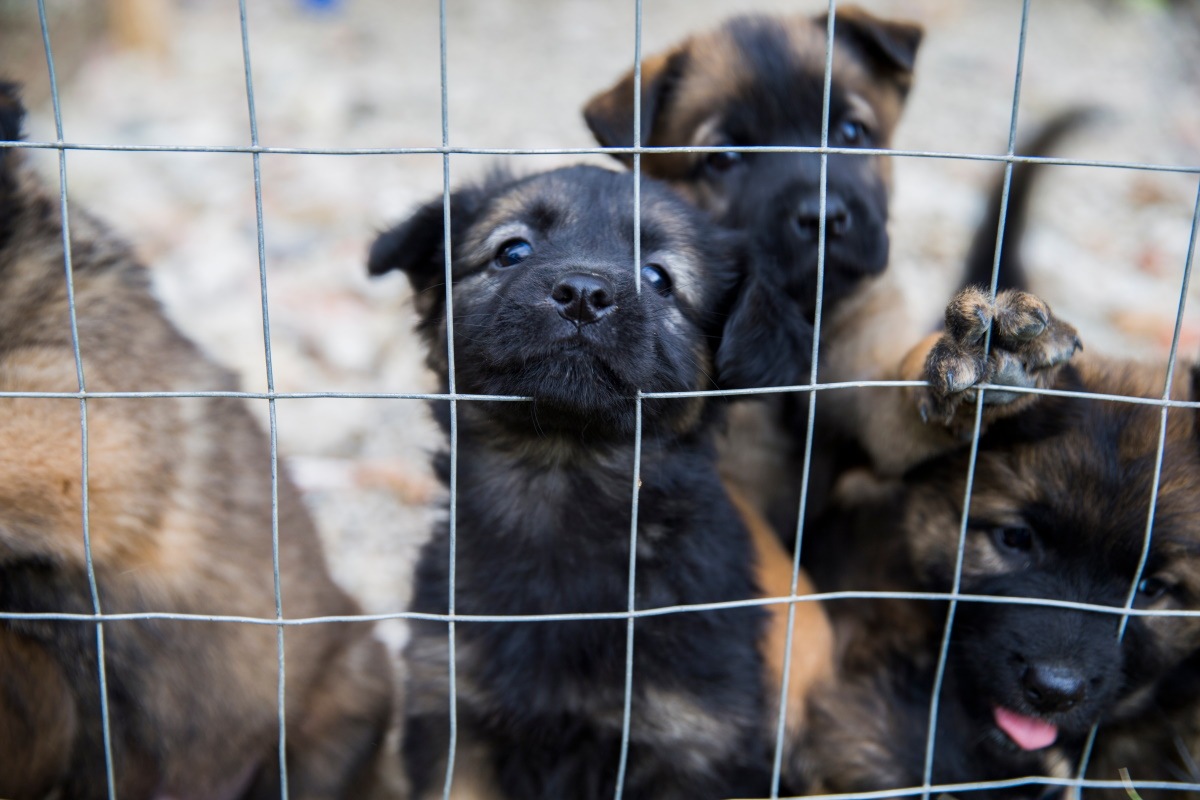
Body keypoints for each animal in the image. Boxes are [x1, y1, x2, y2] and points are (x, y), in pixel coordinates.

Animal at [369, 164, 830, 800]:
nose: (583, 294)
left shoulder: (693, 743)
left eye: (659, 278)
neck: (565, 480)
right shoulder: (456, 719)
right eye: (512, 251)